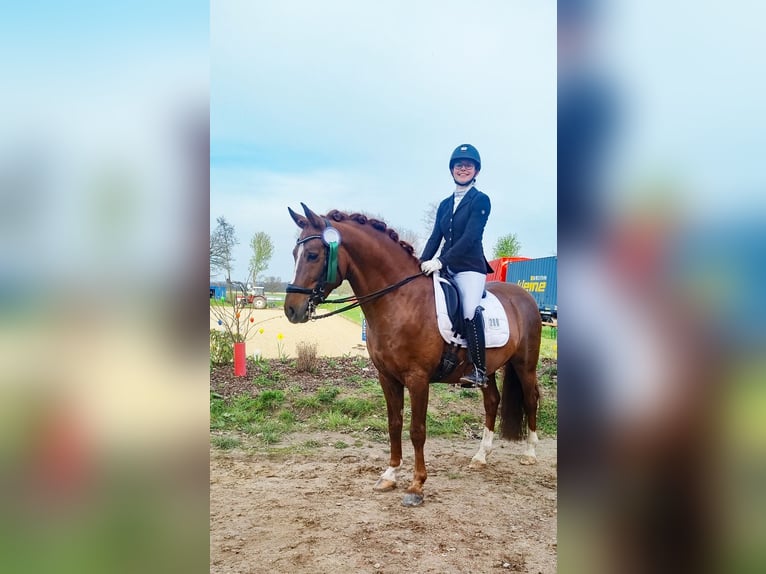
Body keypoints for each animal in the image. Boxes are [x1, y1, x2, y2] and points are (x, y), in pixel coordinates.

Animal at [284, 204, 544, 508]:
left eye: (313, 254)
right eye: (295, 254)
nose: (292, 310)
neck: (400, 300)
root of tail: (523, 296)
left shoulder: (417, 379)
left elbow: (417, 430)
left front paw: (416, 486)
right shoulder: (387, 377)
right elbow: (394, 424)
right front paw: (390, 475)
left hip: (525, 365)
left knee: (530, 399)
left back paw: (530, 454)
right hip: (486, 369)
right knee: (492, 401)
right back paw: (480, 457)